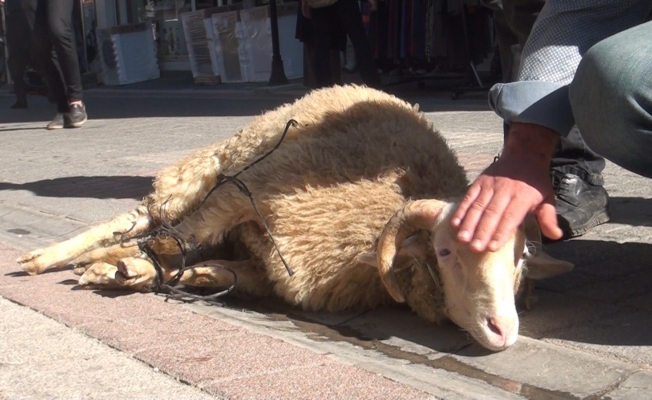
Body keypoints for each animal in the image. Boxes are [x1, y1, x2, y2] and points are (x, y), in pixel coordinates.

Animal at [16, 84, 572, 350]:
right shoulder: (244, 193)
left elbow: (208, 266)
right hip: (209, 169)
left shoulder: (272, 263)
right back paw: (49, 257)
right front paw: (124, 266)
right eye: (445, 250)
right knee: (141, 219)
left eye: (521, 259)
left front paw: (184, 274)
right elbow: (176, 241)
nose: (503, 331)